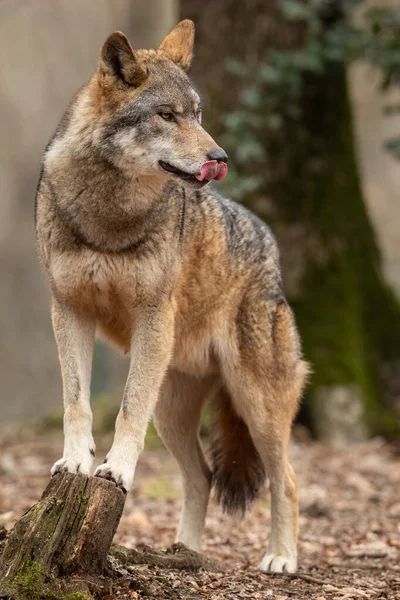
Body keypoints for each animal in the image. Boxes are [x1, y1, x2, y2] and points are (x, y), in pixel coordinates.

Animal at [36, 18, 308, 572]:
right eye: (166, 115)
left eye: (197, 114)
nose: (219, 158)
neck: (110, 214)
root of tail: (270, 249)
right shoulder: (69, 310)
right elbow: (77, 402)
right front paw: (75, 462)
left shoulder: (151, 318)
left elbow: (126, 409)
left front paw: (115, 470)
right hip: (174, 411)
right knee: (202, 476)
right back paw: (185, 552)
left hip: (256, 404)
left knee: (287, 481)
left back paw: (281, 560)